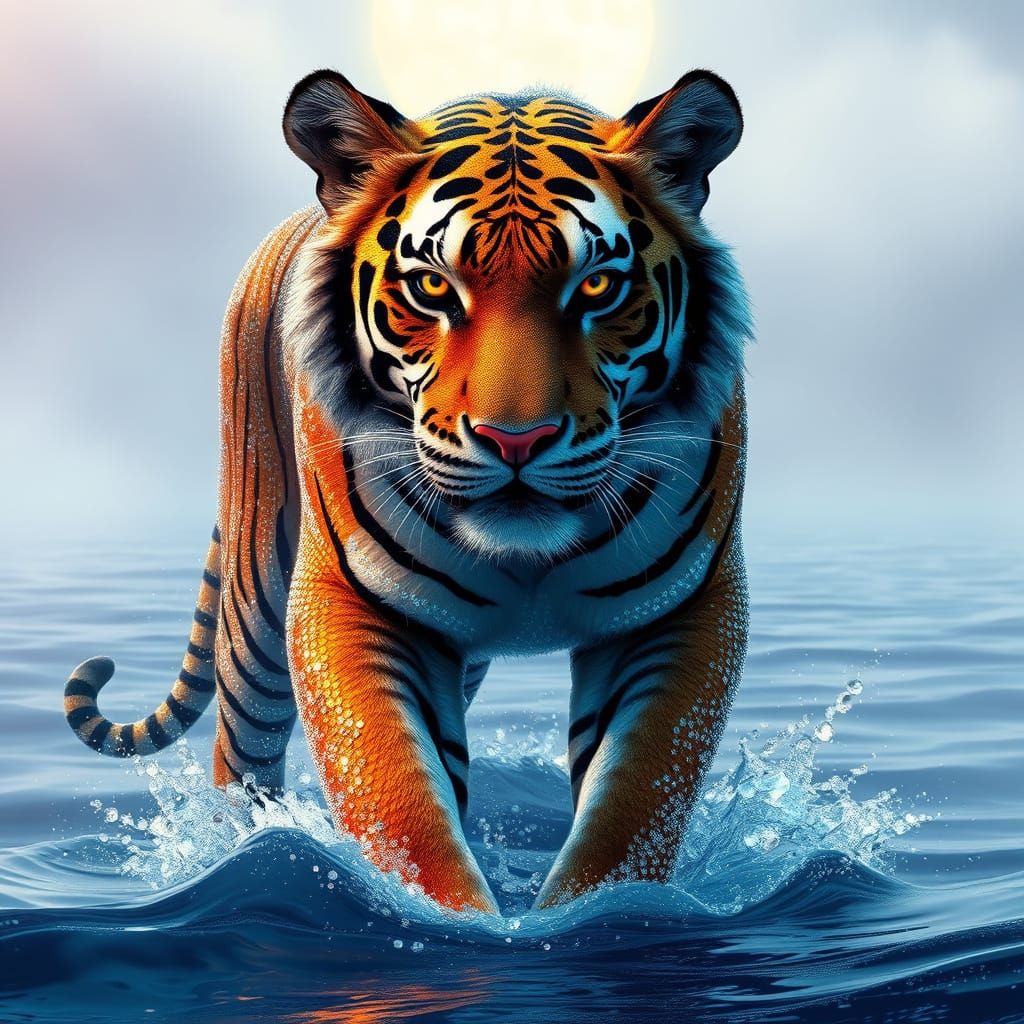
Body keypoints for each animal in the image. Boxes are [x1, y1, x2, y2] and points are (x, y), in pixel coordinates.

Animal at [64, 68, 752, 913]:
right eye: (431, 288)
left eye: (596, 287)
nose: (515, 441)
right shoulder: (351, 601)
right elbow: (400, 804)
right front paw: (454, 928)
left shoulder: (684, 609)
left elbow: (633, 808)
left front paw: (587, 917)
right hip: (257, 598)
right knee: (242, 753)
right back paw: (236, 853)